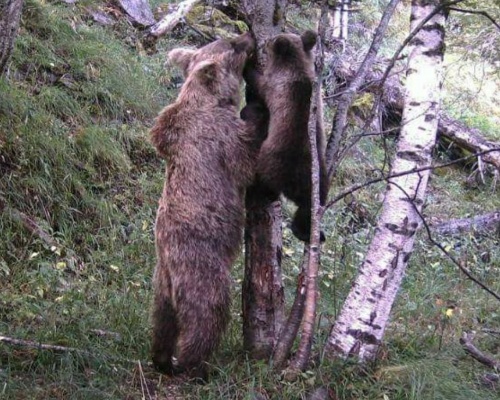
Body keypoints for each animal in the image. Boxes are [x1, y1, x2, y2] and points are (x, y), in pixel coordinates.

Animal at [150, 32, 262, 380]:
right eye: (234, 46)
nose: (249, 35)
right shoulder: (219, 137)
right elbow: (247, 162)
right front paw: (257, 111)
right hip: (201, 264)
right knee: (207, 312)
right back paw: (195, 364)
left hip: (161, 283)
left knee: (162, 320)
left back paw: (161, 358)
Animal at [245, 30, 330, 241]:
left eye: (270, 42)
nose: (265, 42)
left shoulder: (274, 84)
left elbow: (258, 82)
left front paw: (248, 64)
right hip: (318, 178)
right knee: (312, 205)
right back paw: (307, 231)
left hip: (271, 161)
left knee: (264, 183)